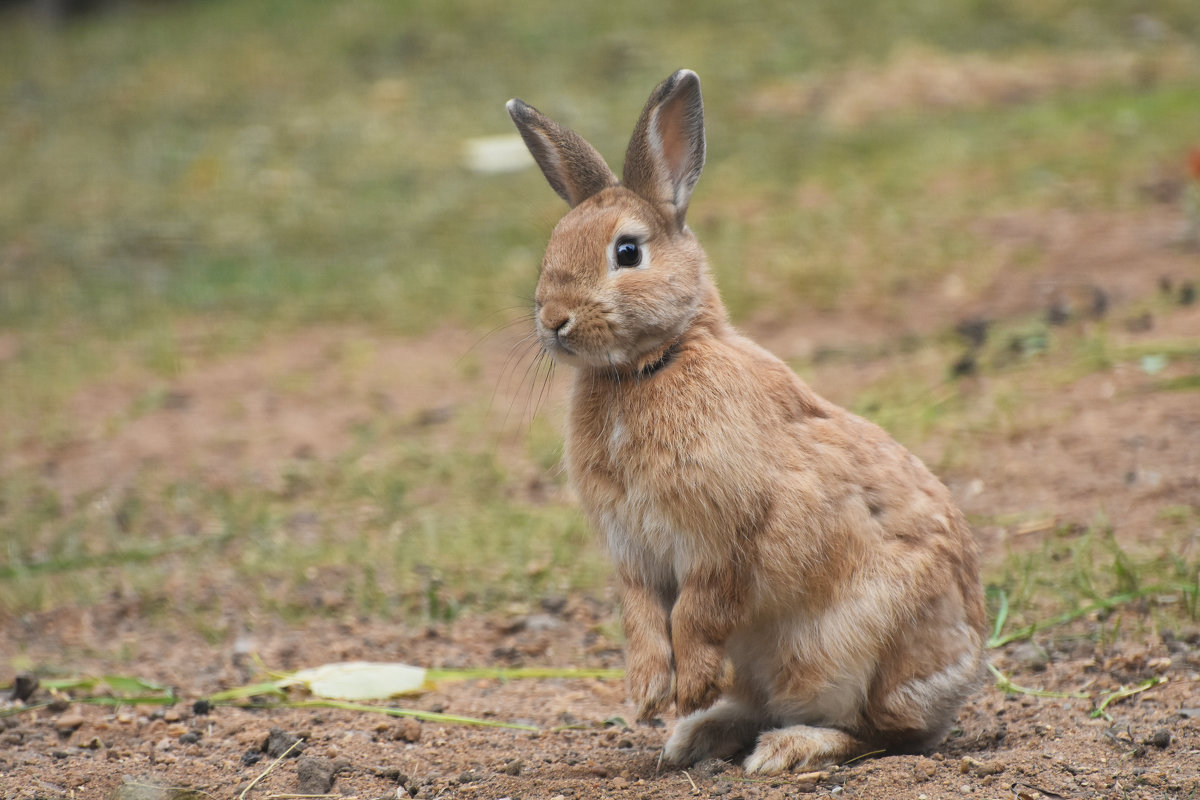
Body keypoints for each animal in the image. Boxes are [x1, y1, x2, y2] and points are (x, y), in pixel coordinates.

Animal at [506, 70, 984, 777]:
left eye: (627, 251)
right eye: (552, 248)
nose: (553, 319)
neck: (650, 366)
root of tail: (960, 679)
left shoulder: (723, 536)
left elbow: (698, 612)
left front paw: (688, 687)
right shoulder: (633, 554)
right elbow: (642, 618)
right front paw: (648, 695)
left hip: (841, 655)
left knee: (879, 733)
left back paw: (780, 748)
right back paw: (692, 737)